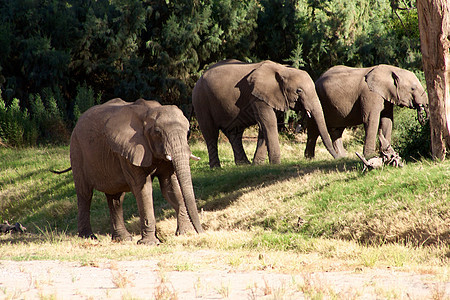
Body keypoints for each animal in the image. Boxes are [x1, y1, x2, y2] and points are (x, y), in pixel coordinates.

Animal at [53, 98, 205, 244]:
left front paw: (185, 233)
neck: (148, 112)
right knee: (85, 194)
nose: (202, 232)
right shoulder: (128, 151)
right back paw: (89, 237)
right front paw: (150, 243)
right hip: (76, 150)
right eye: (157, 132)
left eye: (188, 131)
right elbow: (143, 190)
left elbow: (170, 188)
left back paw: (122, 239)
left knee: (115, 198)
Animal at [192, 57, 340, 168]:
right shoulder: (257, 96)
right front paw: (276, 165)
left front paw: (258, 165)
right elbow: (269, 123)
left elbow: (265, 127)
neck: (283, 69)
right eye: (299, 91)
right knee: (211, 133)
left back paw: (244, 165)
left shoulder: (270, 96)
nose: (338, 157)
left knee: (235, 133)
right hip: (201, 101)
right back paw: (216, 168)